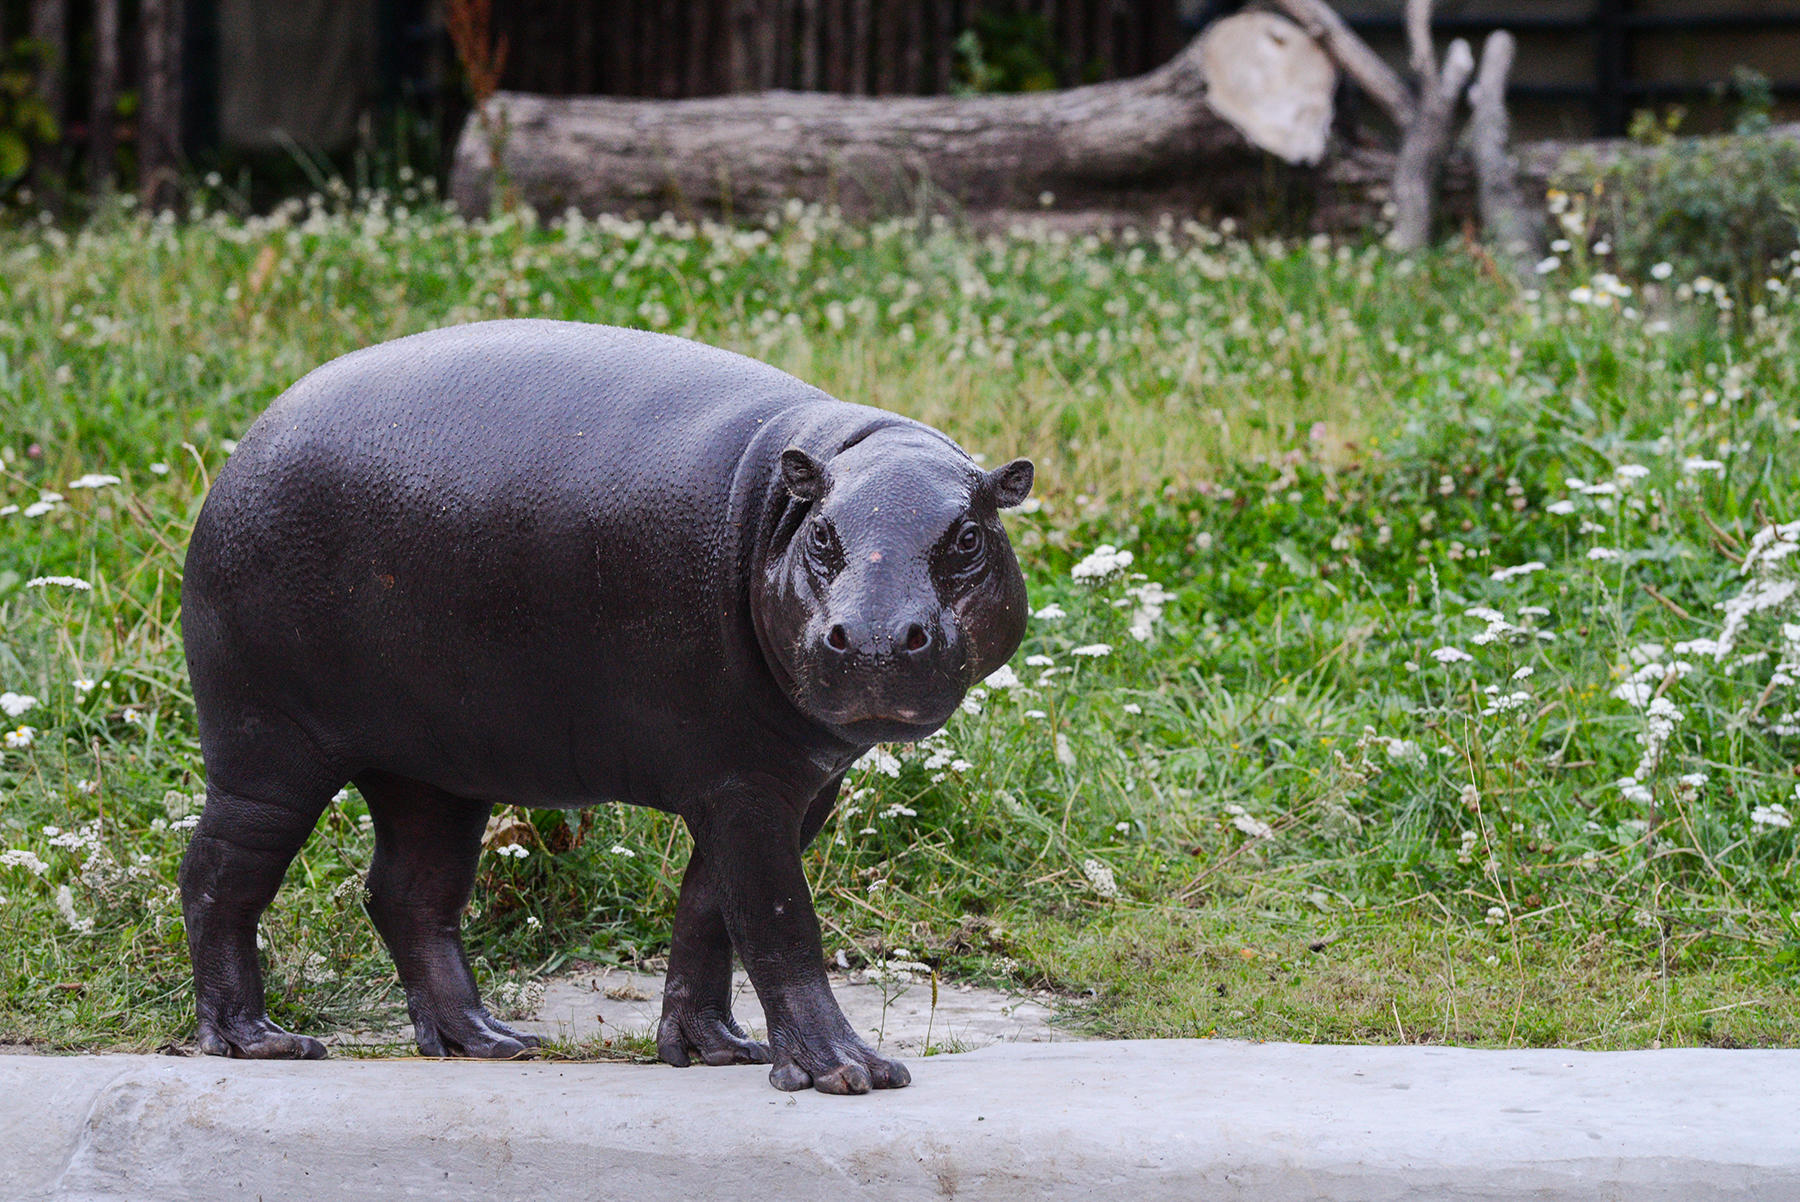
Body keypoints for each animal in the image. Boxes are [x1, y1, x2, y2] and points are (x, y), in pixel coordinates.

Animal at [180, 316, 1036, 1086]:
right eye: (822, 534)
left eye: (968, 536)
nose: (877, 639)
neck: (784, 504)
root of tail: (247, 445)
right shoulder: (745, 784)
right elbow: (778, 920)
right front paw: (849, 1071)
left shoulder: (796, 783)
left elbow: (711, 912)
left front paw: (714, 1049)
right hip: (269, 747)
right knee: (219, 875)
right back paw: (259, 1041)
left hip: (433, 767)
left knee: (408, 895)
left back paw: (486, 1040)